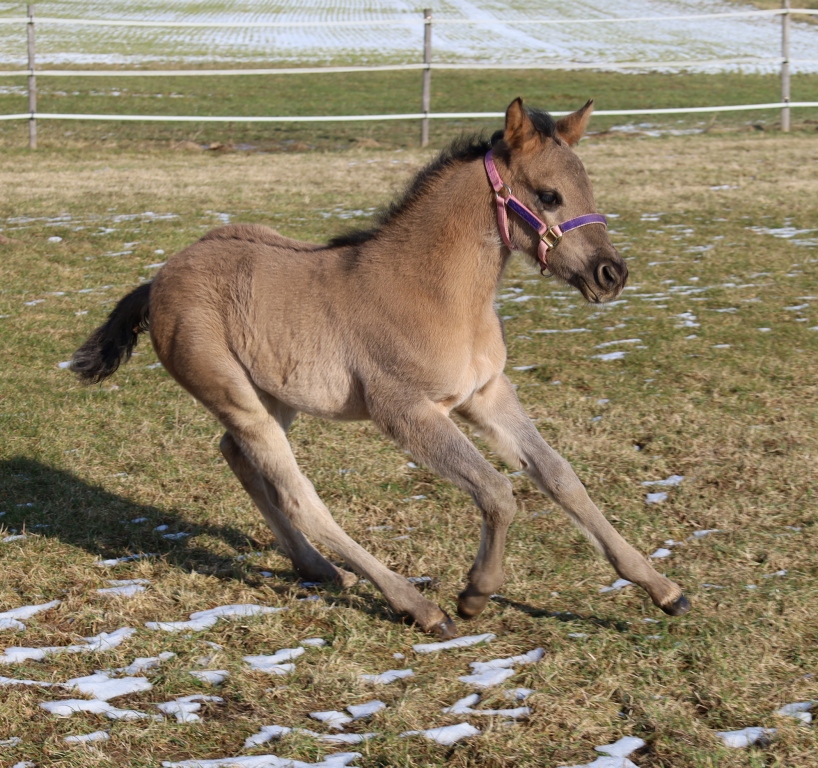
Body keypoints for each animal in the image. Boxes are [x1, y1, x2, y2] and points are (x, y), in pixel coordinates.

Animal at [71, 98, 690, 638]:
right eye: (549, 194)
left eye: (587, 188)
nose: (612, 274)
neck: (440, 295)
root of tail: (158, 280)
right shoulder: (406, 412)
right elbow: (497, 491)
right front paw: (474, 594)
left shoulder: (487, 393)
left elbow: (560, 477)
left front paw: (663, 589)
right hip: (235, 397)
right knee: (298, 495)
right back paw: (415, 605)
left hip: (276, 397)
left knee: (239, 459)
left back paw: (319, 569)